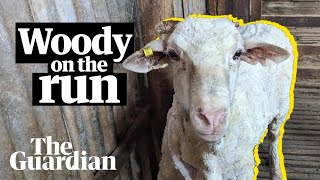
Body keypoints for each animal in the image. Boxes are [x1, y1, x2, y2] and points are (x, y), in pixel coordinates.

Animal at [122, 17, 296, 180]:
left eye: (238, 54)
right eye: (173, 54)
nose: (212, 118)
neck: (208, 156)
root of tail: (266, 24)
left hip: (282, 108)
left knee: (274, 136)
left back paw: (276, 171)